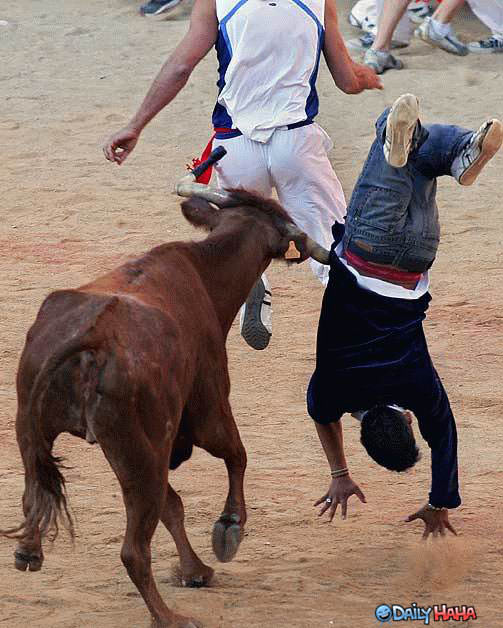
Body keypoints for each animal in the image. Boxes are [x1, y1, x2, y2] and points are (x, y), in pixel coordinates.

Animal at [1, 183, 329, 627]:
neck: (204, 272)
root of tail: (93, 336)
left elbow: (174, 506)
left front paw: (195, 570)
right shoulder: (209, 408)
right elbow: (237, 457)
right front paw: (229, 528)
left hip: (41, 431)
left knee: (38, 493)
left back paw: (29, 551)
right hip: (145, 452)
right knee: (135, 549)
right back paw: (168, 617)